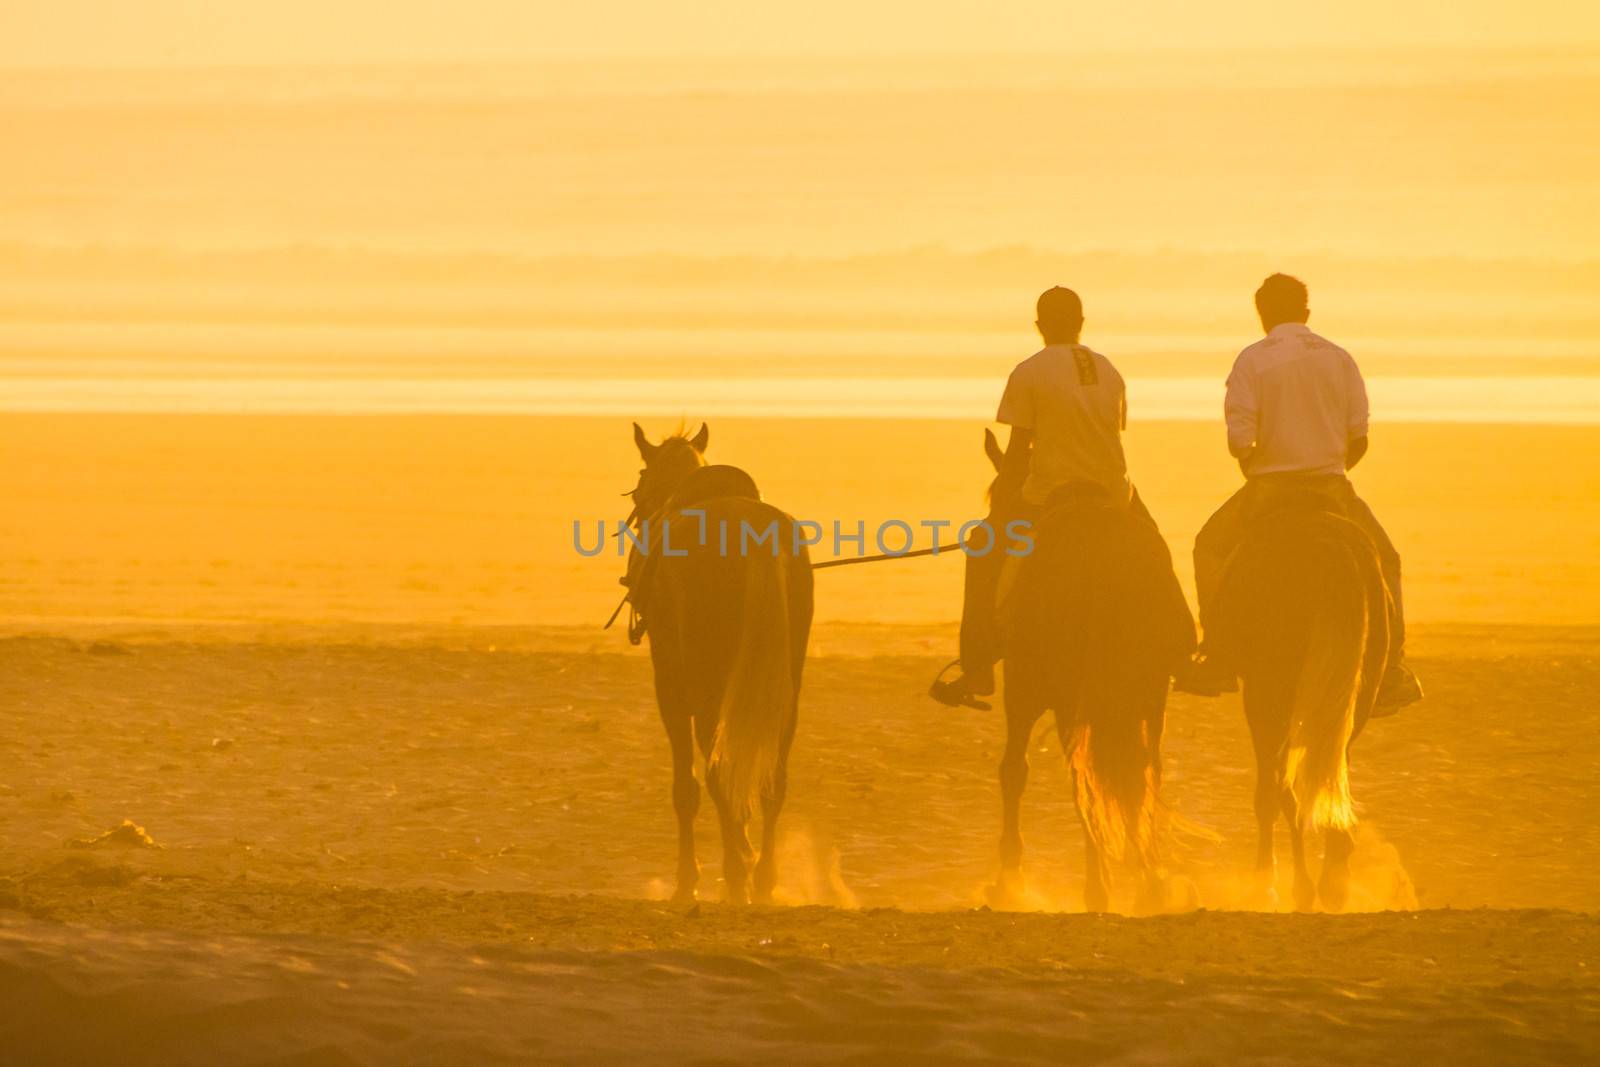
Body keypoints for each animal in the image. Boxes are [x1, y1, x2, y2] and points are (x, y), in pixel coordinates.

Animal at [617, 422, 806, 908]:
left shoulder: (671, 686)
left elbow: (687, 786)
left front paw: (690, 879)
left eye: (641, 477)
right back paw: (763, 879)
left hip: (705, 687)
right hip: (785, 693)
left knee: (719, 774)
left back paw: (737, 874)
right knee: (773, 780)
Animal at [985, 428, 1203, 915]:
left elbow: (1014, 770)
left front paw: (1009, 878)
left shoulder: (1024, 689)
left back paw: (1099, 888)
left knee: (1085, 776)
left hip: (1070, 693)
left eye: (995, 500)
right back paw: (1148, 885)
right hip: (1147, 696)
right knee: (1144, 772)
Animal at [1209, 489, 1388, 915]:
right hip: (1355, 695)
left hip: (1271, 697)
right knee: (1331, 772)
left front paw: (1265, 884)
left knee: (1286, 791)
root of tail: (1328, 545)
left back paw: (1303, 886)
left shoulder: (1260, 703)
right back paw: (1334, 879)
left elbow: (1270, 793)